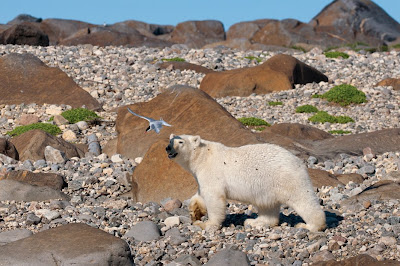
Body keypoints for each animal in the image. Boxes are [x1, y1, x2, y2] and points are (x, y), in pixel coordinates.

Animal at [166, 134, 324, 232]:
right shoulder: (202, 176)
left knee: (303, 199)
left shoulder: (212, 172)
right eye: (170, 140)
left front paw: (209, 223)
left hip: (287, 179)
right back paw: (254, 222)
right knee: (268, 206)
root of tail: (299, 162)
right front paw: (195, 212)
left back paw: (310, 226)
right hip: (269, 187)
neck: (203, 156)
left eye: (180, 141)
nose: (168, 148)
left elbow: (214, 197)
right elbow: (200, 194)